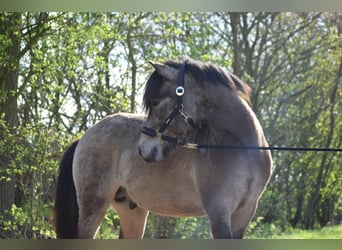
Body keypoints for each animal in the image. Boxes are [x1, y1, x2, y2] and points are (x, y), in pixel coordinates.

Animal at [53, 58, 272, 238]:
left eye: (156, 101)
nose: (142, 149)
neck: (242, 150)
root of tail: (84, 137)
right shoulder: (219, 212)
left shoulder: (244, 213)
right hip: (93, 205)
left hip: (132, 212)